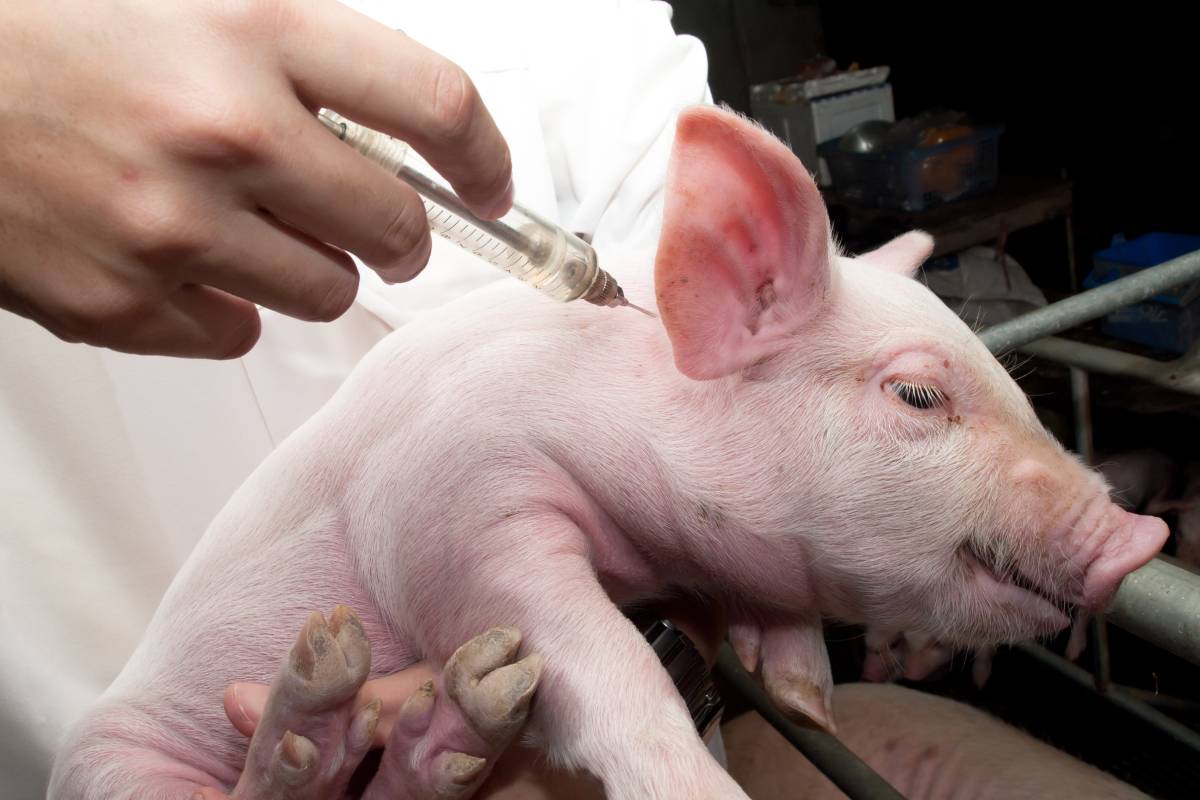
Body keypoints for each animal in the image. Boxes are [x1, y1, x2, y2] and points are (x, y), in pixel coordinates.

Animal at [49, 105, 1169, 799]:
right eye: (918, 394)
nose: (1141, 533)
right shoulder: (442, 506)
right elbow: (605, 661)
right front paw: (702, 786)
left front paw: (804, 695)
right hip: (111, 763)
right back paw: (326, 684)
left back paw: (440, 724)